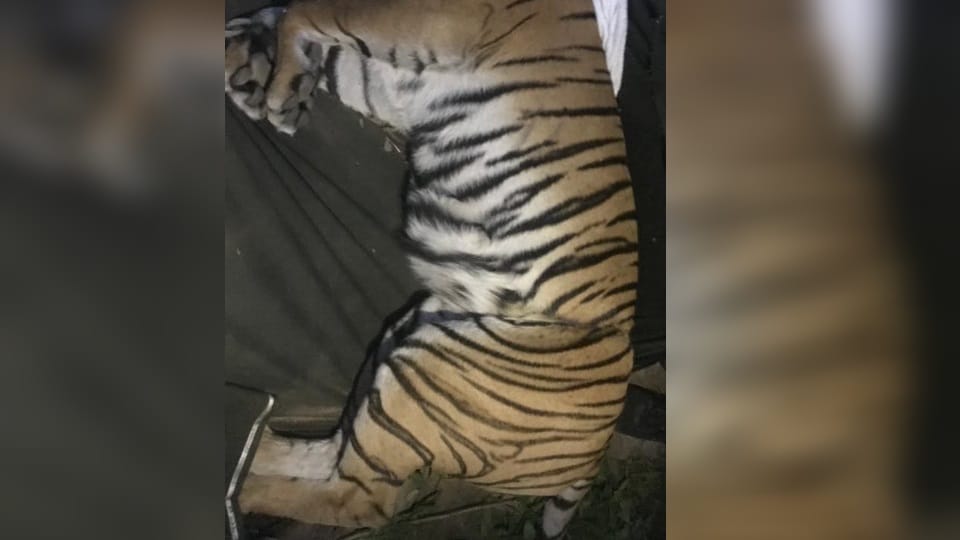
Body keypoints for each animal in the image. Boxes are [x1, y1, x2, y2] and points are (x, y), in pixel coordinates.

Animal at [225, 1, 638, 537]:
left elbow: (307, 13)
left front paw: (275, 88)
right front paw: (262, 75)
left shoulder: (434, 21)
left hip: (423, 385)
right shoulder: (386, 79)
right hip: (403, 345)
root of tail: (595, 456)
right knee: (326, 453)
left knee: (356, 499)